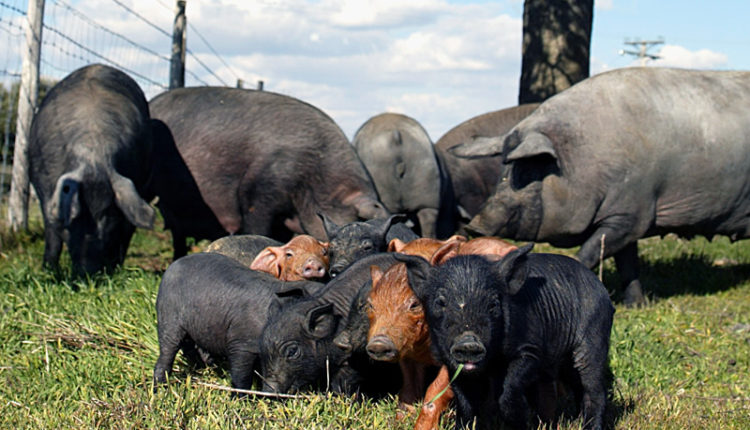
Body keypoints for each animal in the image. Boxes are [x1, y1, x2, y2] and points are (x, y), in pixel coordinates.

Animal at [28, 64, 155, 275]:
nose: (88, 273)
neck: (94, 156)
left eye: (109, 215)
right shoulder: (44, 189)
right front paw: (49, 272)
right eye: (76, 218)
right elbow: (52, 235)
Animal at [153, 252, 323, 391]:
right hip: (169, 319)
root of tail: (170, 267)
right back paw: (160, 389)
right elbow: (241, 374)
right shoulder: (241, 343)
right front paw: (243, 399)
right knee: (167, 353)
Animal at [398, 243, 614, 430]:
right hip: (565, 362)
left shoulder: (530, 351)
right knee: (577, 387)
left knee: (594, 390)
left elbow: (508, 392)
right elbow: (465, 403)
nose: (468, 342)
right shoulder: (450, 363)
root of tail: (602, 289)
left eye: (493, 303)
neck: (493, 363)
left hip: (594, 337)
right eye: (440, 302)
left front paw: (521, 423)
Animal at [452, 68, 750, 306]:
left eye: (526, 170)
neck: (588, 164)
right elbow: (628, 262)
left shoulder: (631, 215)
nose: (474, 225)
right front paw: (636, 305)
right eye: (503, 172)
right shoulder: (627, 217)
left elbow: (591, 251)